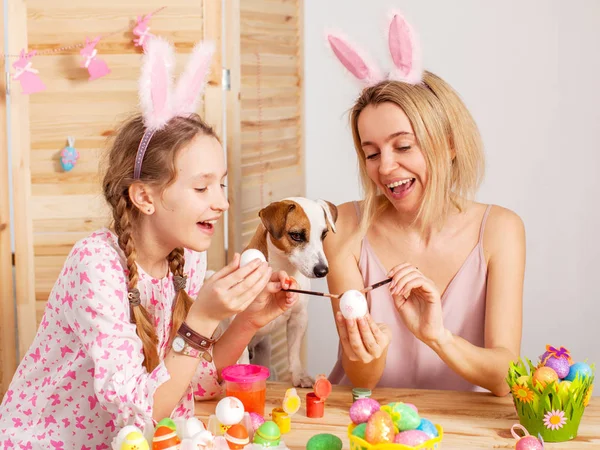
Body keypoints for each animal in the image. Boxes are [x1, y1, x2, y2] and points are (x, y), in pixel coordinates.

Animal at [244, 197, 338, 386]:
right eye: (296, 235)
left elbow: (294, 352)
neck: (282, 269)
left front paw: (299, 375)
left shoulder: (298, 317)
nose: (322, 270)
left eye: (323, 235)